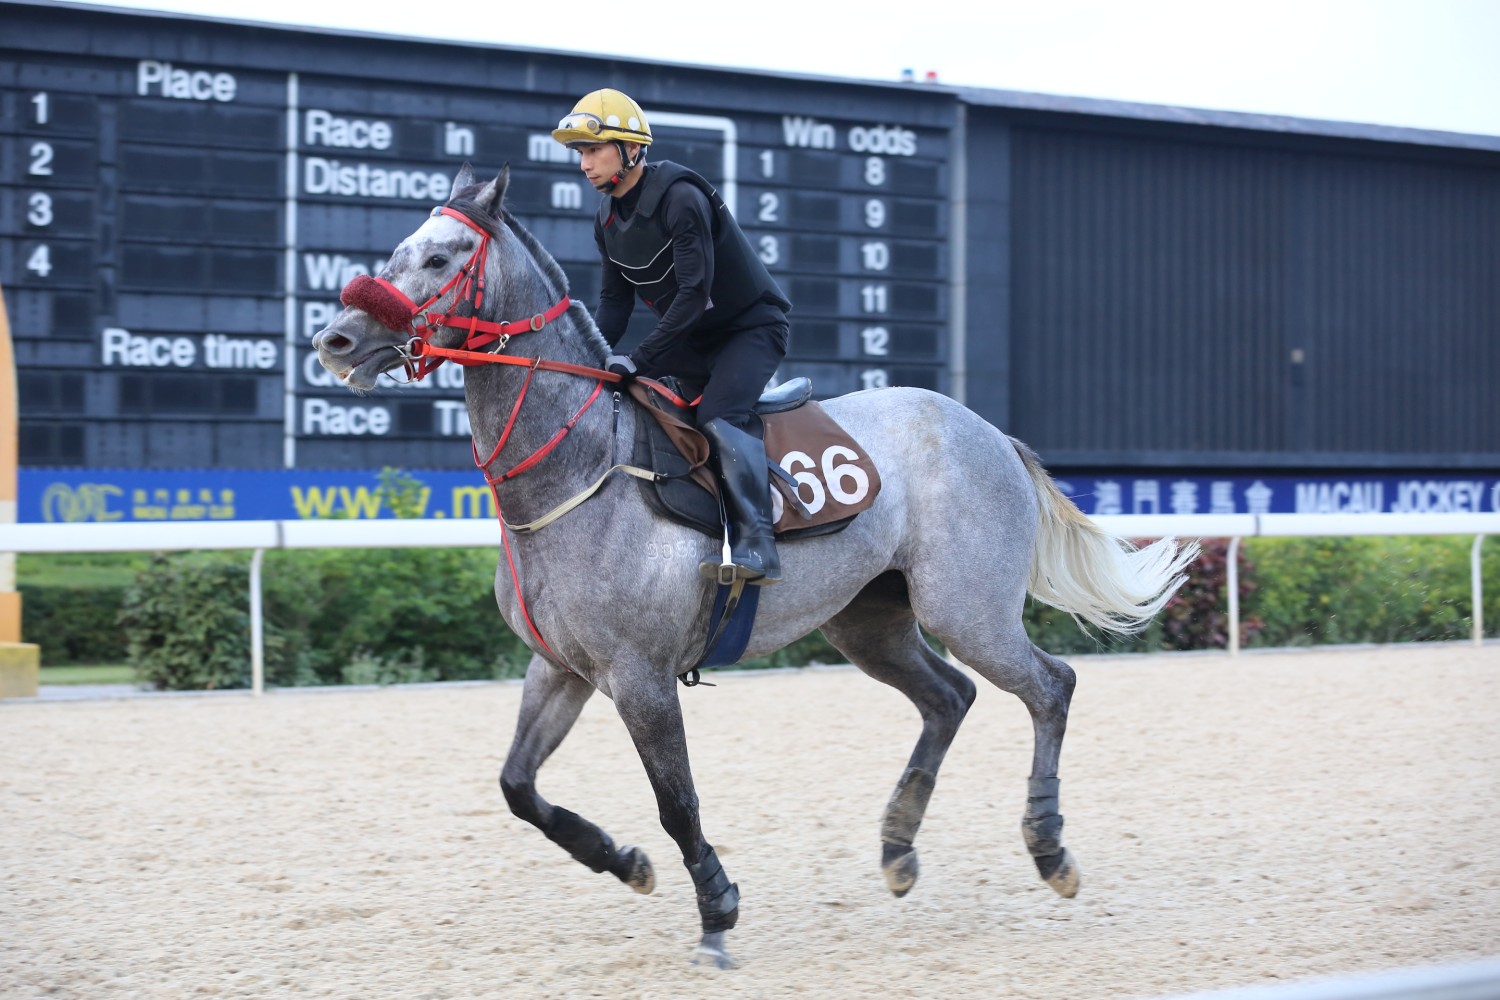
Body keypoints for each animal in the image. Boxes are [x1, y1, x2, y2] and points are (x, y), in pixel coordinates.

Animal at [313, 166, 1194, 971]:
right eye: (395, 251)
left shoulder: (640, 676)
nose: (337, 340)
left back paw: (1050, 849)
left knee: (1050, 686)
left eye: (439, 257)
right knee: (949, 698)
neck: (577, 465)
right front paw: (625, 863)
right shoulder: (560, 667)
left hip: (967, 610)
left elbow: (677, 803)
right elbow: (518, 786)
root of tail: (989, 431)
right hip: (869, 623)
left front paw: (717, 911)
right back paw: (898, 850)